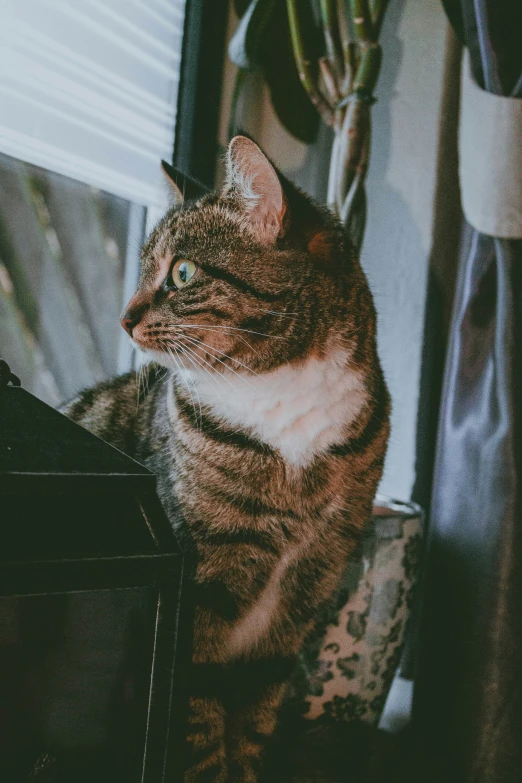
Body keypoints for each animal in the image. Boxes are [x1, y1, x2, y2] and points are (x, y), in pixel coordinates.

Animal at [62, 138, 386, 780]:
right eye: (144, 268)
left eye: (182, 272)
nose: (123, 318)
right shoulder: (196, 590)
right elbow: (199, 721)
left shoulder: (307, 592)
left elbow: (254, 716)